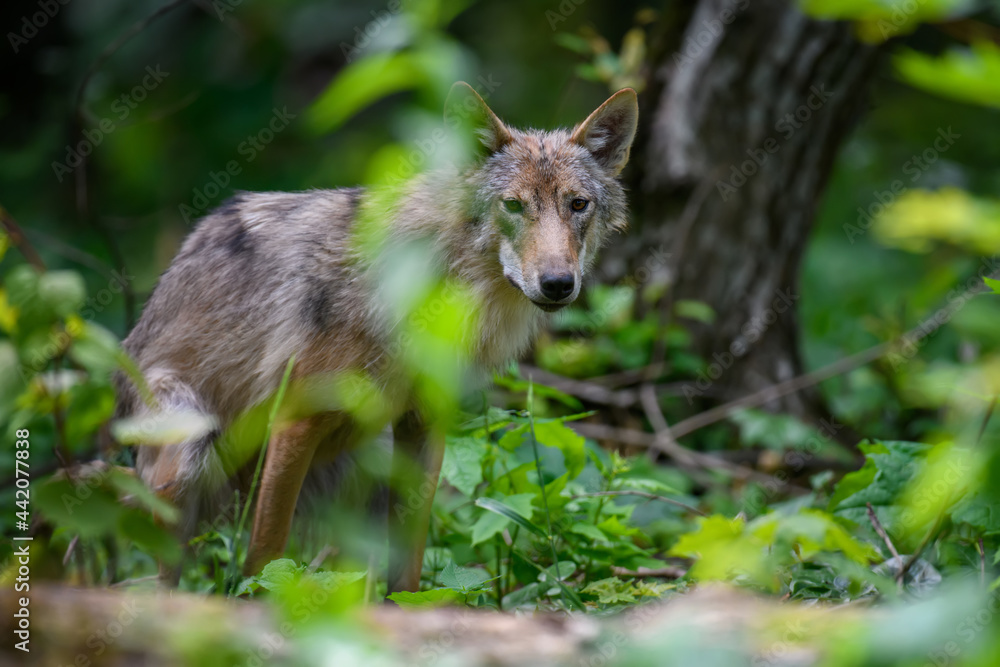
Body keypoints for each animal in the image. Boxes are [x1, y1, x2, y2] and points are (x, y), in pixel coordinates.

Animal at [114, 82, 638, 593]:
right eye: (513, 205)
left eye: (578, 205)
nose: (558, 284)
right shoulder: (295, 422)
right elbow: (264, 558)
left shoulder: (424, 424)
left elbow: (408, 566)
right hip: (187, 455)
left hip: (366, 469)